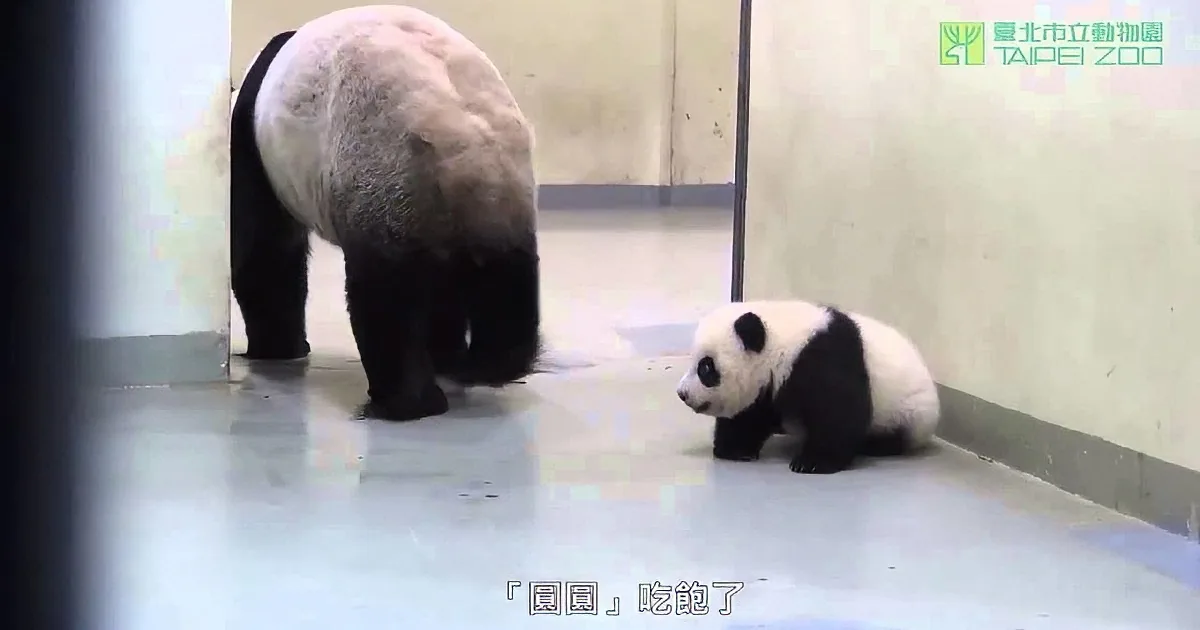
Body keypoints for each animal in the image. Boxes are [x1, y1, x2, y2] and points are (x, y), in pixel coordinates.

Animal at [231, 5, 542, 422]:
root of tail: (465, 143)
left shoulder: (255, 147)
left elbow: (264, 251)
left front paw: (276, 350)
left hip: (383, 173)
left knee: (387, 294)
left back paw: (403, 402)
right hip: (503, 203)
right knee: (503, 284)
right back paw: (470, 364)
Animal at [675, 300, 940, 475]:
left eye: (705, 368)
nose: (682, 394)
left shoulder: (823, 358)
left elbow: (839, 411)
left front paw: (812, 462)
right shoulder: (768, 386)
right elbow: (749, 414)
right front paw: (735, 449)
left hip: (908, 412)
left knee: (893, 434)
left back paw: (874, 445)